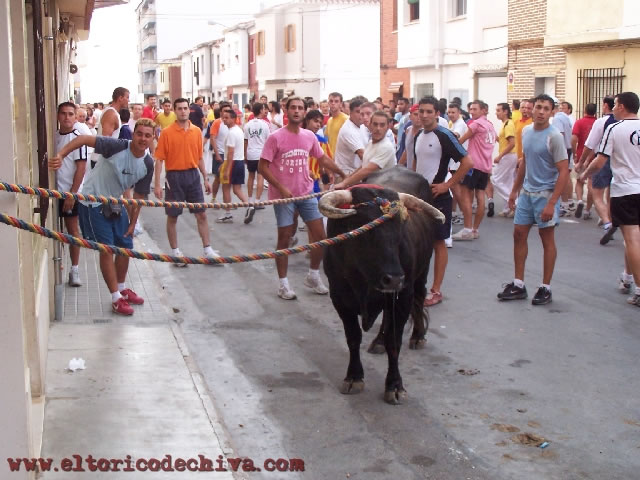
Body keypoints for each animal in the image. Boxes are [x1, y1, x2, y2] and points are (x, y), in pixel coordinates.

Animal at [320, 167, 444, 404]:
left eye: (400, 228)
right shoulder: (339, 297)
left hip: (421, 272)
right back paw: (378, 341)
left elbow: (394, 342)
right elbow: (353, 337)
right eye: (363, 227)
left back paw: (417, 336)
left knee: (419, 298)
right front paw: (354, 377)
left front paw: (394, 385)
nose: (393, 278)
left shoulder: (403, 295)